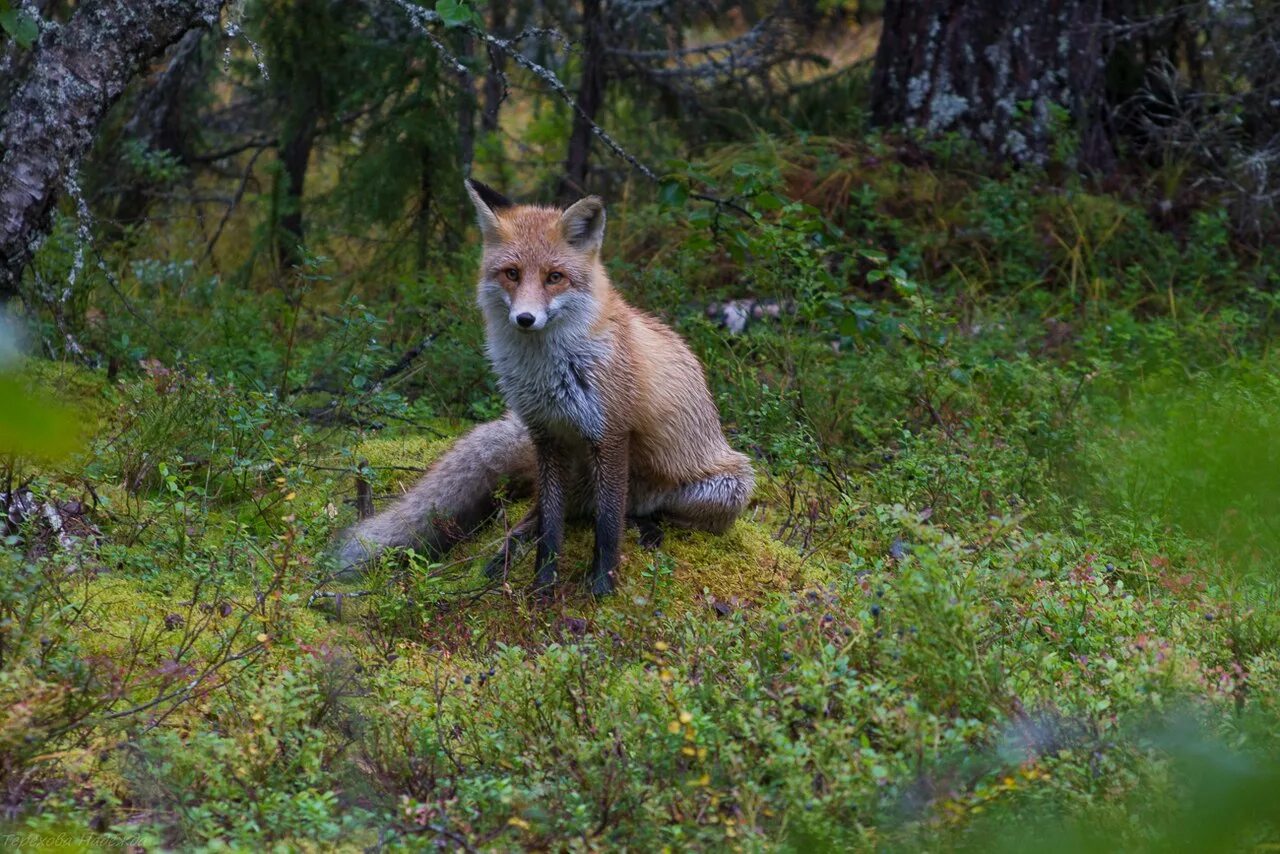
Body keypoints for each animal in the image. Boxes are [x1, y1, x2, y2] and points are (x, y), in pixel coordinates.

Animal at [335, 180, 752, 594]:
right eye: (512, 273)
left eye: (554, 277)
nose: (525, 318)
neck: (548, 376)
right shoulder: (547, 435)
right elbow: (552, 527)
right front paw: (542, 586)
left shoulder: (611, 434)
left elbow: (607, 526)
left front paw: (601, 587)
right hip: (577, 477)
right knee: (542, 516)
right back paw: (503, 557)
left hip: (726, 488)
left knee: (632, 513)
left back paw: (647, 527)